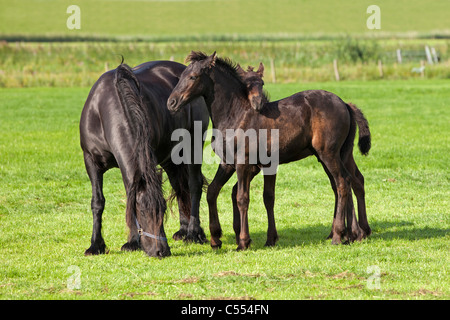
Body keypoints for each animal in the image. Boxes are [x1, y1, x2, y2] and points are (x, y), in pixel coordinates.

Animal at [79, 60, 209, 258]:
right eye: (141, 211)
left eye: (162, 210)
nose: (161, 251)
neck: (101, 110)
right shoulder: (91, 161)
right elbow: (98, 202)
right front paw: (96, 245)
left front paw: (132, 242)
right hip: (170, 157)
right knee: (180, 186)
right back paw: (183, 230)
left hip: (194, 145)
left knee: (194, 185)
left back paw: (194, 233)